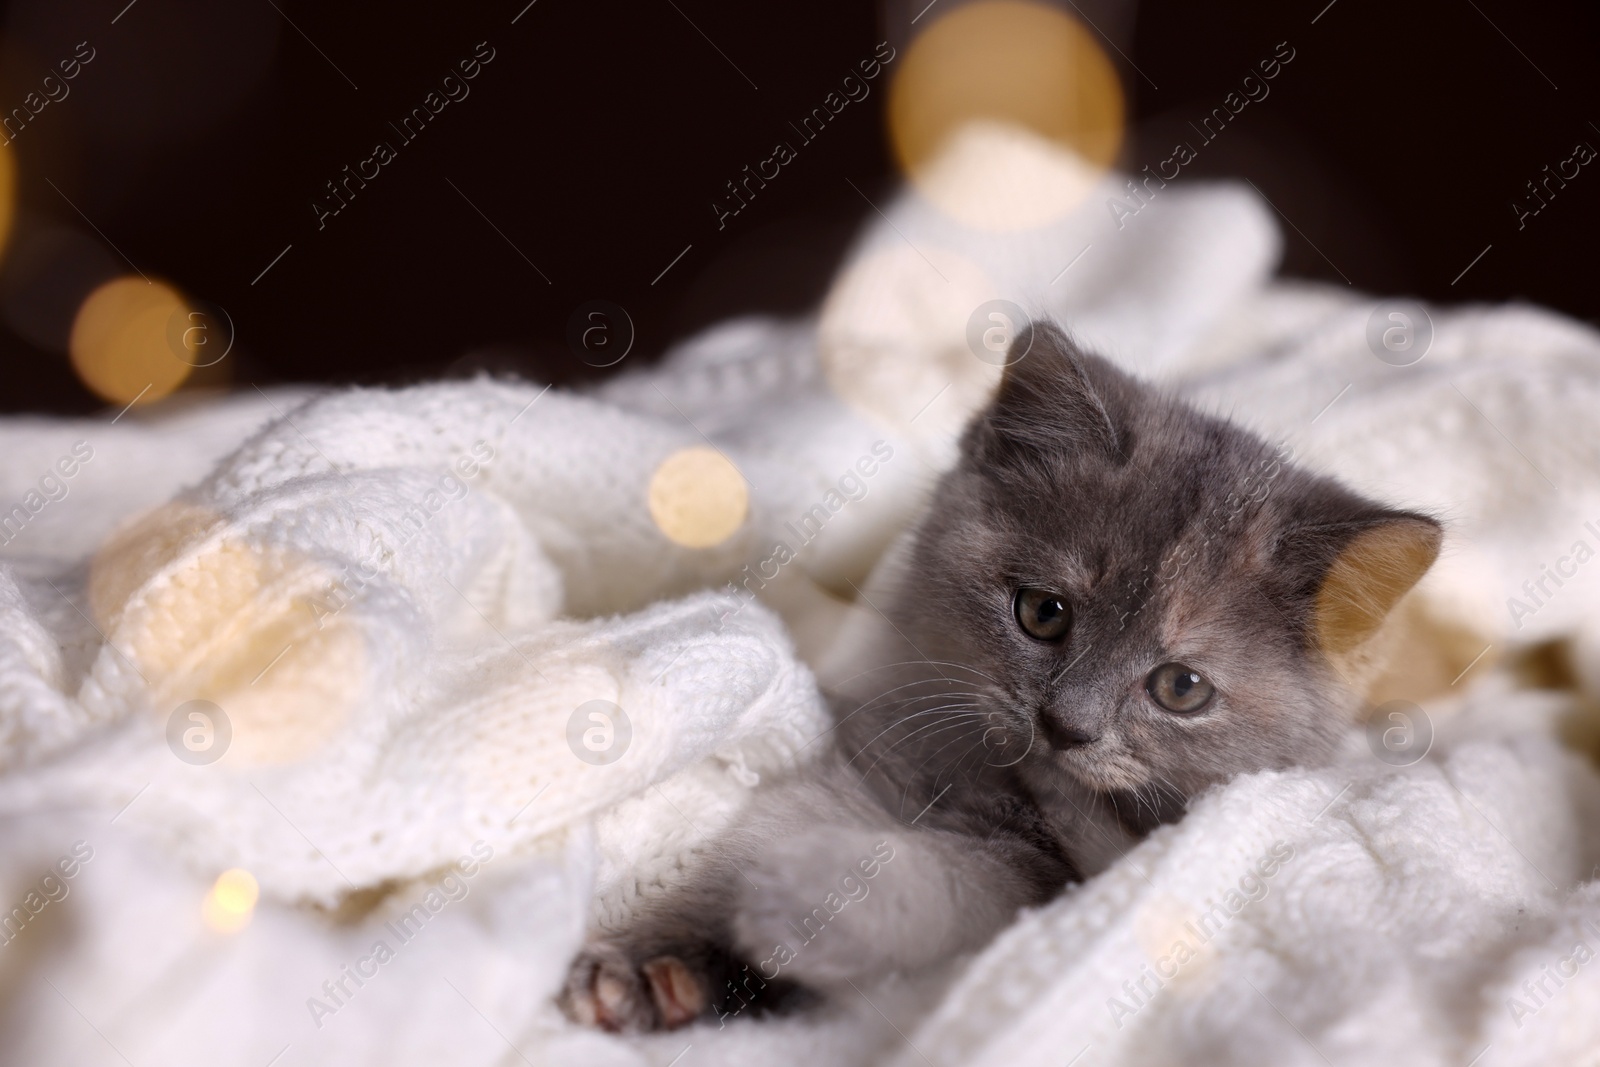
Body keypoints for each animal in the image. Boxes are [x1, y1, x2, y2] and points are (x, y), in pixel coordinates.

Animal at [560, 321, 1440, 1030]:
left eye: (1182, 688)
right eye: (1042, 611)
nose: (1066, 724)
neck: (991, 784)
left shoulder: (1049, 873)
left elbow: (931, 888)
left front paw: (793, 904)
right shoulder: (868, 761)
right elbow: (769, 836)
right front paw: (656, 962)